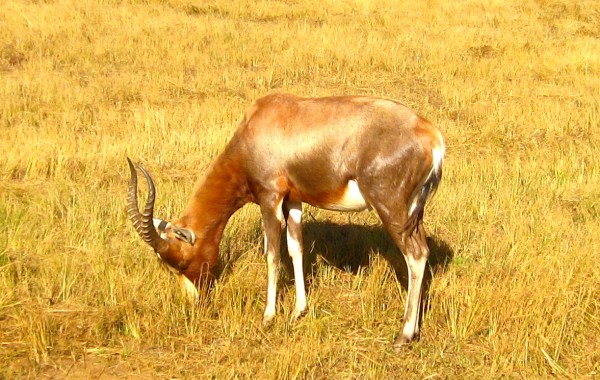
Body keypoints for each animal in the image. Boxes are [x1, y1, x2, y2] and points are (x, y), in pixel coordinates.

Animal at [126, 93, 446, 350]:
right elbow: (296, 249)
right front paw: (298, 310)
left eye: (180, 261)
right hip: (413, 214)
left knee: (416, 255)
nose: (194, 303)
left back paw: (404, 335)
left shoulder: (270, 198)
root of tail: (432, 136)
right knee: (421, 252)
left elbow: (271, 254)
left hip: (391, 209)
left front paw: (268, 316)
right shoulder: (293, 200)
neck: (259, 122)